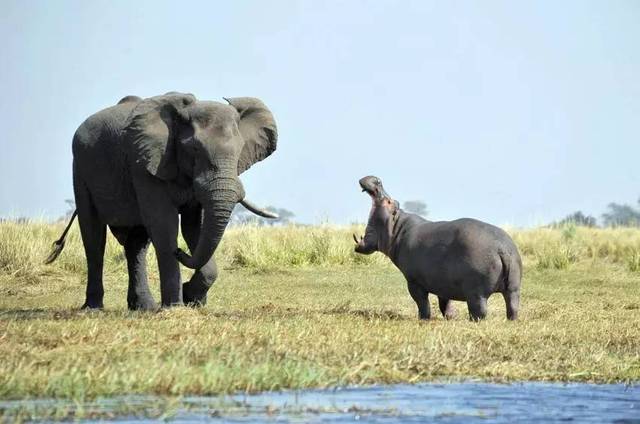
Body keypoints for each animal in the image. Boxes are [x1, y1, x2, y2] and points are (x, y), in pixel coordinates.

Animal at [48, 92, 278, 308]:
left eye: (239, 150)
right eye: (194, 149)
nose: (180, 251)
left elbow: (194, 227)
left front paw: (192, 299)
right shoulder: (144, 163)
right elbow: (164, 225)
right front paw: (175, 306)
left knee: (136, 243)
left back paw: (144, 307)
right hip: (81, 169)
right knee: (93, 235)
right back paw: (94, 308)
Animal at [352, 176, 524, 322]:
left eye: (388, 201)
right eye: (394, 201)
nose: (377, 180)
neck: (397, 228)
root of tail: (502, 248)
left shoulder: (414, 281)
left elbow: (422, 302)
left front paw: (423, 319)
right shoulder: (443, 282)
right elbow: (444, 303)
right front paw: (450, 317)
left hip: (476, 292)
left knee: (480, 311)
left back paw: (472, 321)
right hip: (514, 287)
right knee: (512, 306)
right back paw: (511, 321)